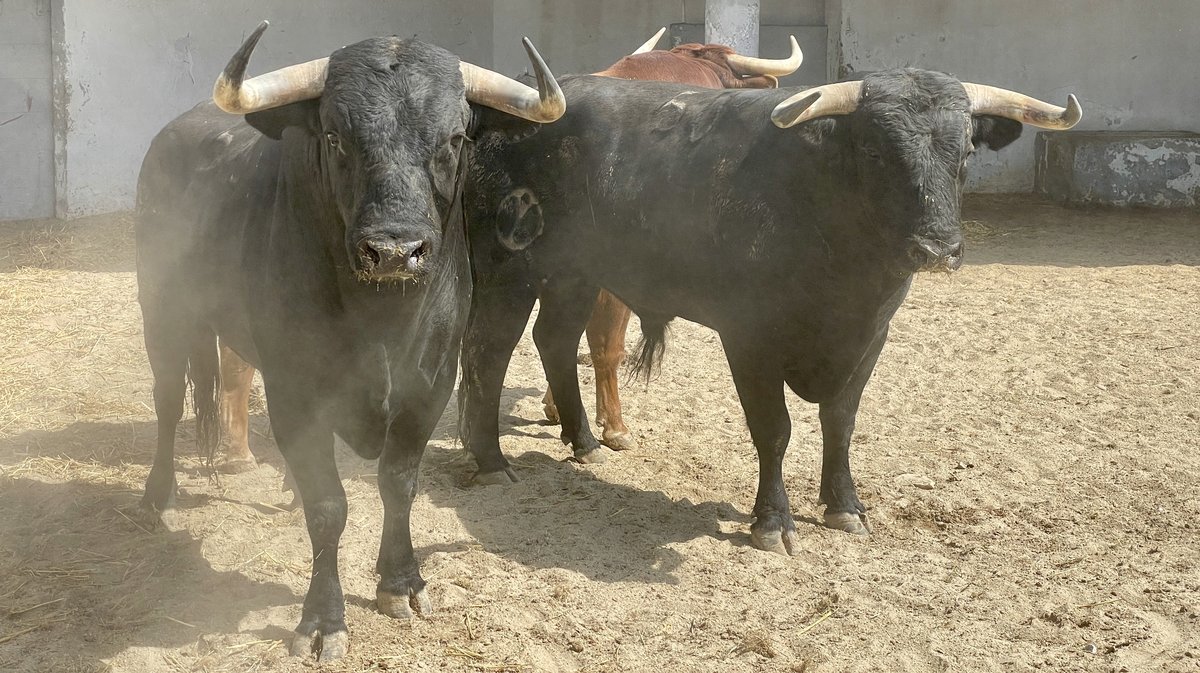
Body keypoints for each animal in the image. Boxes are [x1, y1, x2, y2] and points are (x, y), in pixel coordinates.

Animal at [456, 68, 1080, 554]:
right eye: (875, 150)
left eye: (967, 151)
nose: (936, 249)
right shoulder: (749, 336)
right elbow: (774, 429)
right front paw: (772, 522)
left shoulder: (870, 337)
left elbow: (840, 421)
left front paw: (845, 506)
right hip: (508, 267)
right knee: (488, 352)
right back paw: (491, 462)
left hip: (575, 274)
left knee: (555, 340)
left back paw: (584, 441)